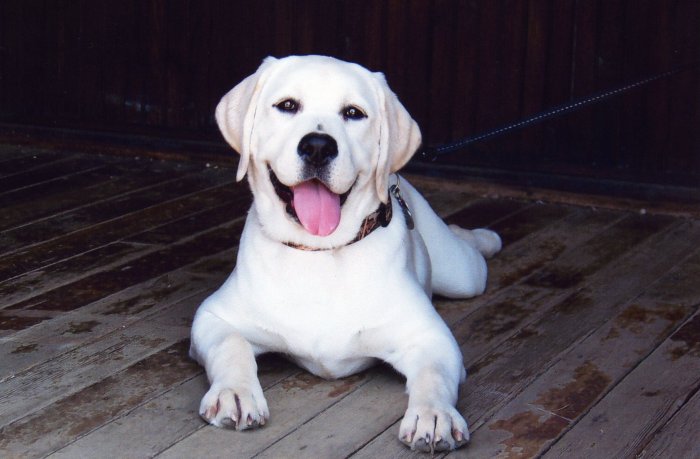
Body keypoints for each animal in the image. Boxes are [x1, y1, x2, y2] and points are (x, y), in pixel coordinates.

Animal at [189, 54, 500, 452]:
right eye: (287, 105)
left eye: (353, 113)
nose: (318, 146)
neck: (320, 253)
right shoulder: (213, 316)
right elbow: (231, 345)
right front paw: (235, 393)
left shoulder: (432, 338)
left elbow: (433, 375)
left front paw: (434, 415)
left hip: (462, 276)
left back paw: (483, 237)